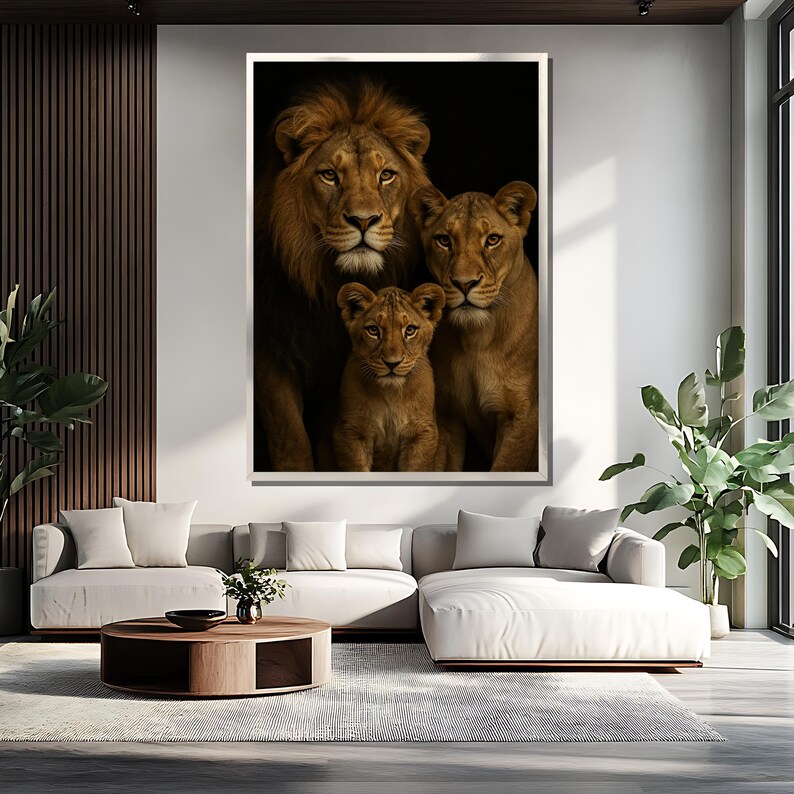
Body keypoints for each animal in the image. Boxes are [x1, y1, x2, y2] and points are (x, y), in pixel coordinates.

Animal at [334, 282, 446, 472]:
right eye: (373, 330)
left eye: (410, 330)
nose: (392, 363)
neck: (390, 393)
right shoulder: (353, 430)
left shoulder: (421, 431)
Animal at [409, 181, 539, 472]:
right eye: (444, 240)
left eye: (492, 240)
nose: (464, 283)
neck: (477, 340)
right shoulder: (448, 415)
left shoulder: (521, 415)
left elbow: (505, 468)